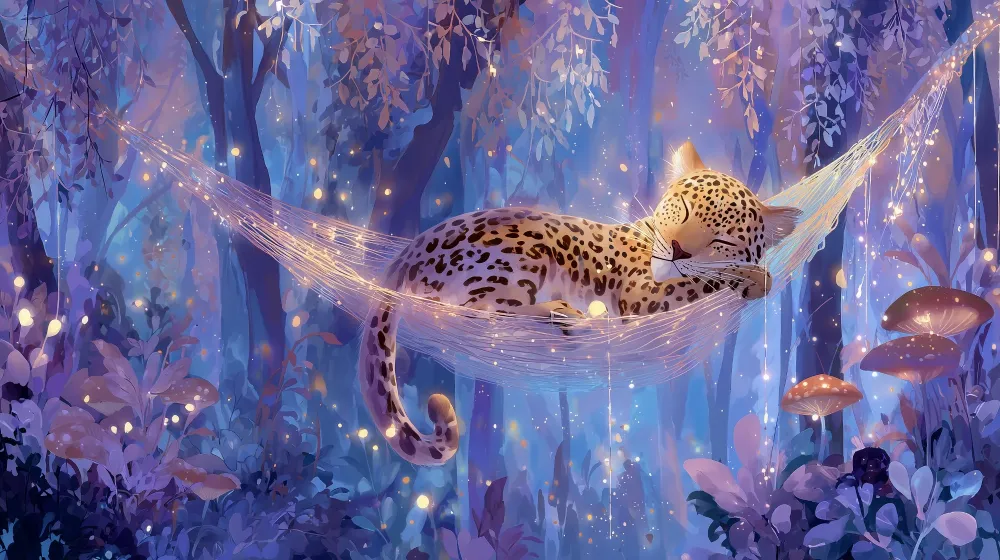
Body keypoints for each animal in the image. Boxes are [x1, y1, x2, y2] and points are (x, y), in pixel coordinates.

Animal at [358, 141, 801, 465]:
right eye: (685, 208)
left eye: (721, 239)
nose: (677, 249)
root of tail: (408, 254)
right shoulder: (641, 295)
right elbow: (700, 280)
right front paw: (754, 277)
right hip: (527, 253)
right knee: (477, 310)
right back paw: (564, 313)